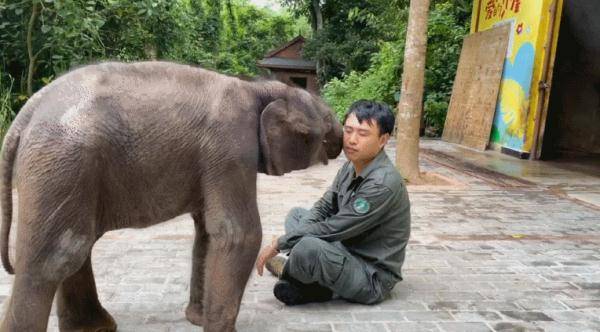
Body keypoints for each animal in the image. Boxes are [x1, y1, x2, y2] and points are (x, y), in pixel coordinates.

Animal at [0, 61, 342, 330]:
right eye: (326, 122)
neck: (258, 88)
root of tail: (27, 112)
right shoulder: (231, 147)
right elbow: (237, 233)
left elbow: (207, 232)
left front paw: (198, 320)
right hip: (63, 163)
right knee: (57, 256)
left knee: (77, 244)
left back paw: (96, 327)